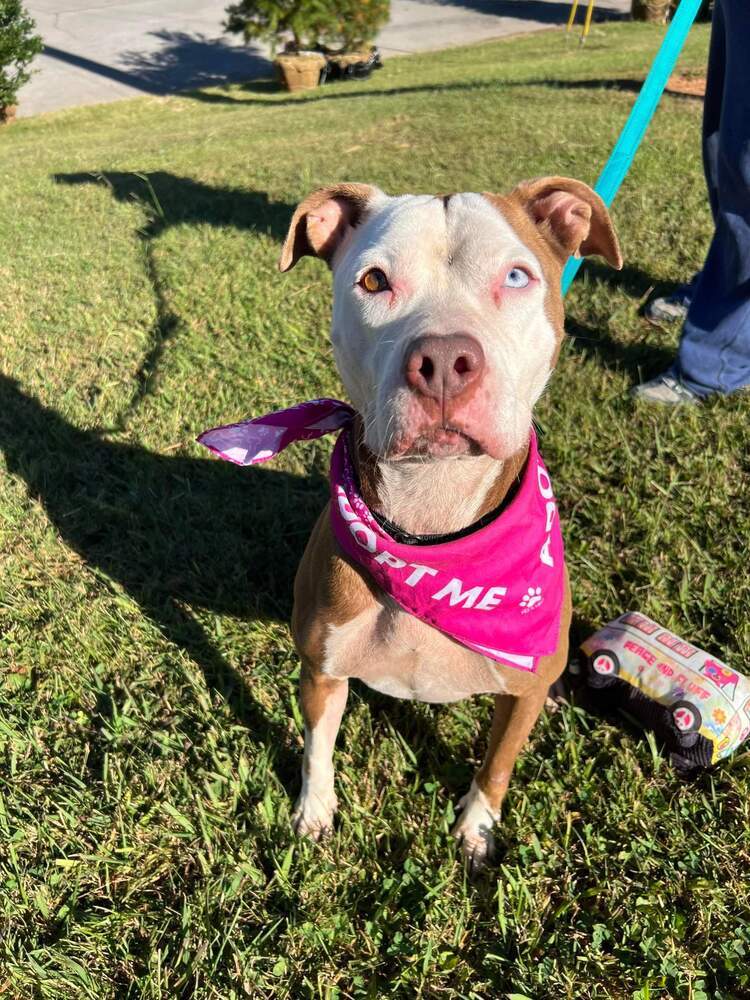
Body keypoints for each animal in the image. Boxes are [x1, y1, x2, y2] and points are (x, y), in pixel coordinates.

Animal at [276, 180, 624, 868]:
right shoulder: (322, 670)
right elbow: (317, 747)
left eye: (516, 276)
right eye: (374, 280)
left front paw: (476, 829)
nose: (442, 358)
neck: (434, 535)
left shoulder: (520, 695)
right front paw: (314, 812)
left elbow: (497, 764)